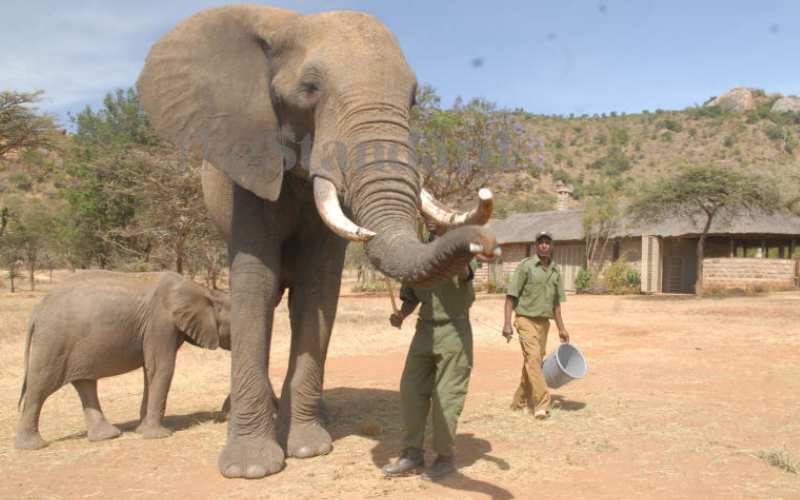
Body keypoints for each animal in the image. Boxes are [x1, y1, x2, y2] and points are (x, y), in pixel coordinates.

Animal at [14, 271, 231, 450]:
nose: (223, 414)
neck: (205, 292)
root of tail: (36, 311)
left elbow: (150, 370)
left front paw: (142, 430)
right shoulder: (160, 323)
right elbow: (162, 367)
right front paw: (158, 436)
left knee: (85, 383)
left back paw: (107, 436)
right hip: (53, 342)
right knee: (40, 385)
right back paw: (32, 446)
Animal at [137, 5, 499, 478]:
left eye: (414, 99)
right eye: (309, 90)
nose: (487, 244)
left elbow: (318, 289)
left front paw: (308, 448)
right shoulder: (249, 160)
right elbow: (255, 284)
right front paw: (251, 468)